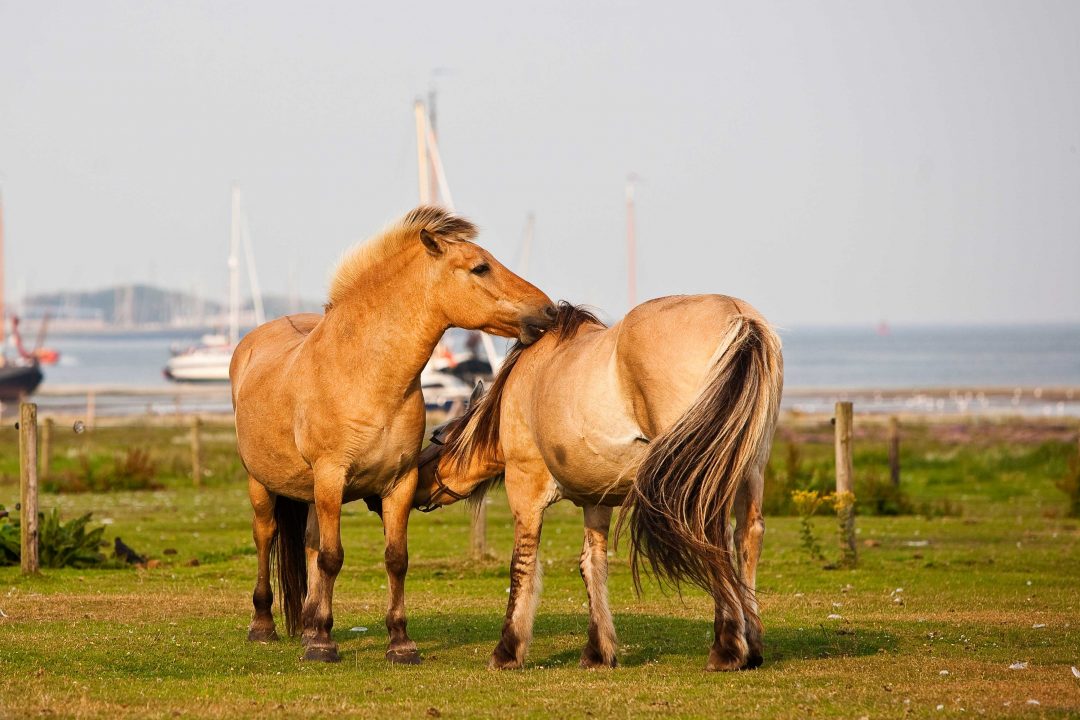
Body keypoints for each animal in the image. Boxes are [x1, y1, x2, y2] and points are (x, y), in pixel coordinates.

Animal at [234, 207, 557, 664]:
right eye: (480, 267)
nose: (548, 311)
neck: (365, 375)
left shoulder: (398, 484)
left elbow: (395, 559)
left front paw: (400, 643)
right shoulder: (331, 477)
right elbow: (333, 558)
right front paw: (324, 646)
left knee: (311, 543)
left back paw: (312, 623)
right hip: (261, 484)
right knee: (266, 537)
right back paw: (264, 625)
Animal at [414, 295, 786, 673]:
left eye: (437, 437)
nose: (415, 486)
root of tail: (740, 318)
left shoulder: (525, 490)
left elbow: (522, 565)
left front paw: (508, 649)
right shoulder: (597, 501)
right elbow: (592, 565)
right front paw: (598, 649)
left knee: (713, 535)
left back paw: (727, 647)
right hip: (746, 468)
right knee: (747, 536)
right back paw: (751, 643)